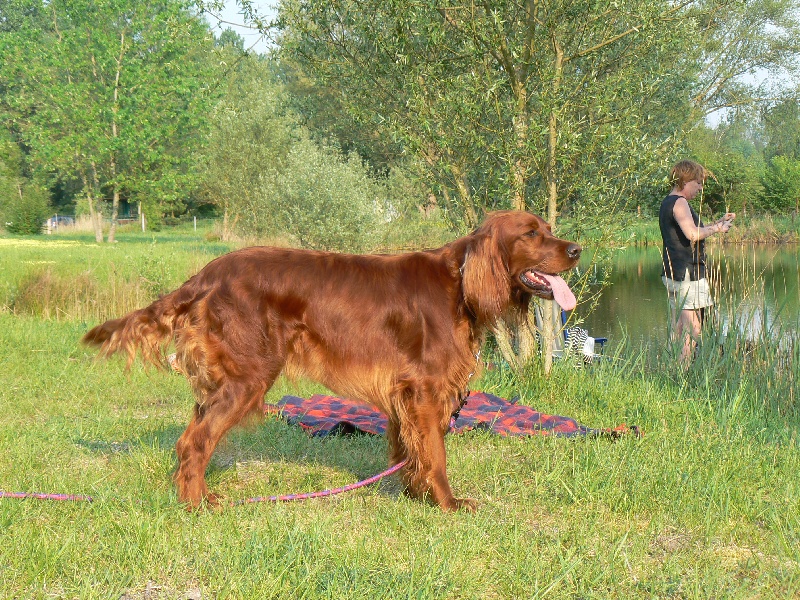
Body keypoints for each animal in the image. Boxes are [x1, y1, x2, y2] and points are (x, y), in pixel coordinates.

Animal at [81, 211, 580, 510]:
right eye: (531, 233)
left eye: (547, 227)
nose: (577, 250)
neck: (458, 283)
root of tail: (204, 276)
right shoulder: (424, 387)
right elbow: (435, 454)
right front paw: (447, 504)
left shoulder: (403, 392)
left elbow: (411, 450)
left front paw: (414, 496)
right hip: (248, 378)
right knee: (195, 442)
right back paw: (198, 504)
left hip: (219, 381)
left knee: (190, 437)